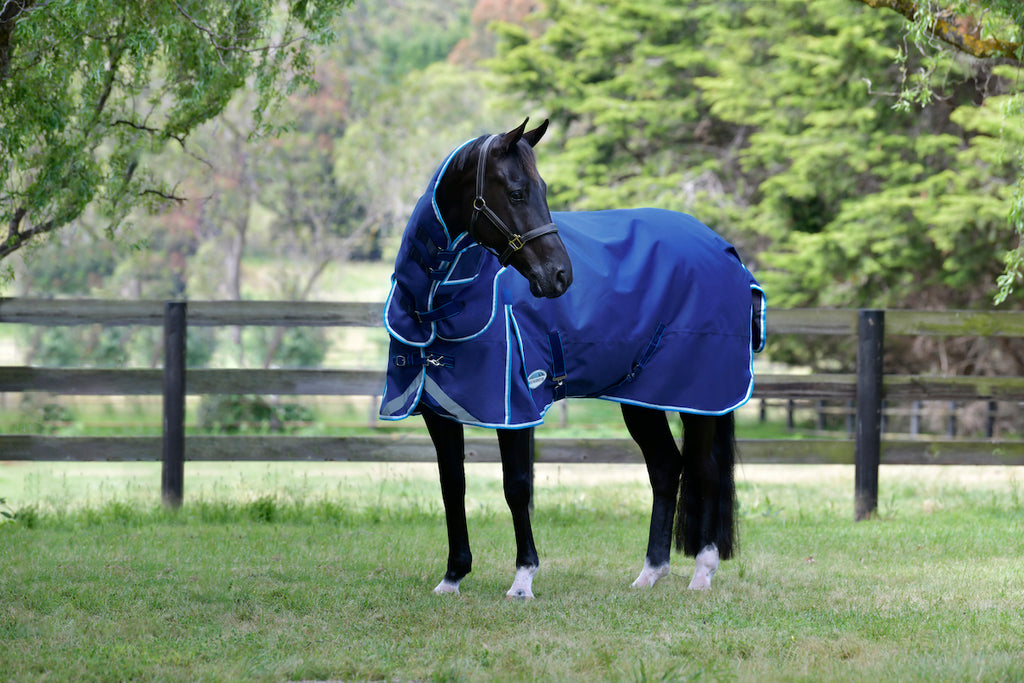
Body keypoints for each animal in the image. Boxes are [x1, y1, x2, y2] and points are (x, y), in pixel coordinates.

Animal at [380, 119, 765, 599]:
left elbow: (517, 487)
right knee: (665, 467)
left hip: (700, 398)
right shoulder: (438, 408)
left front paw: (523, 579)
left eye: (542, 189)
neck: (439, 300)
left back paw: (702, 572)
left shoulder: (517, 406)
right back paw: (650, 572)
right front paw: (452, 576)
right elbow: (453, 483)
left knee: (705, 469)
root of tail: (727, 251)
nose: (560, 276)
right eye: (517, 192)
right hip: (642, 397)